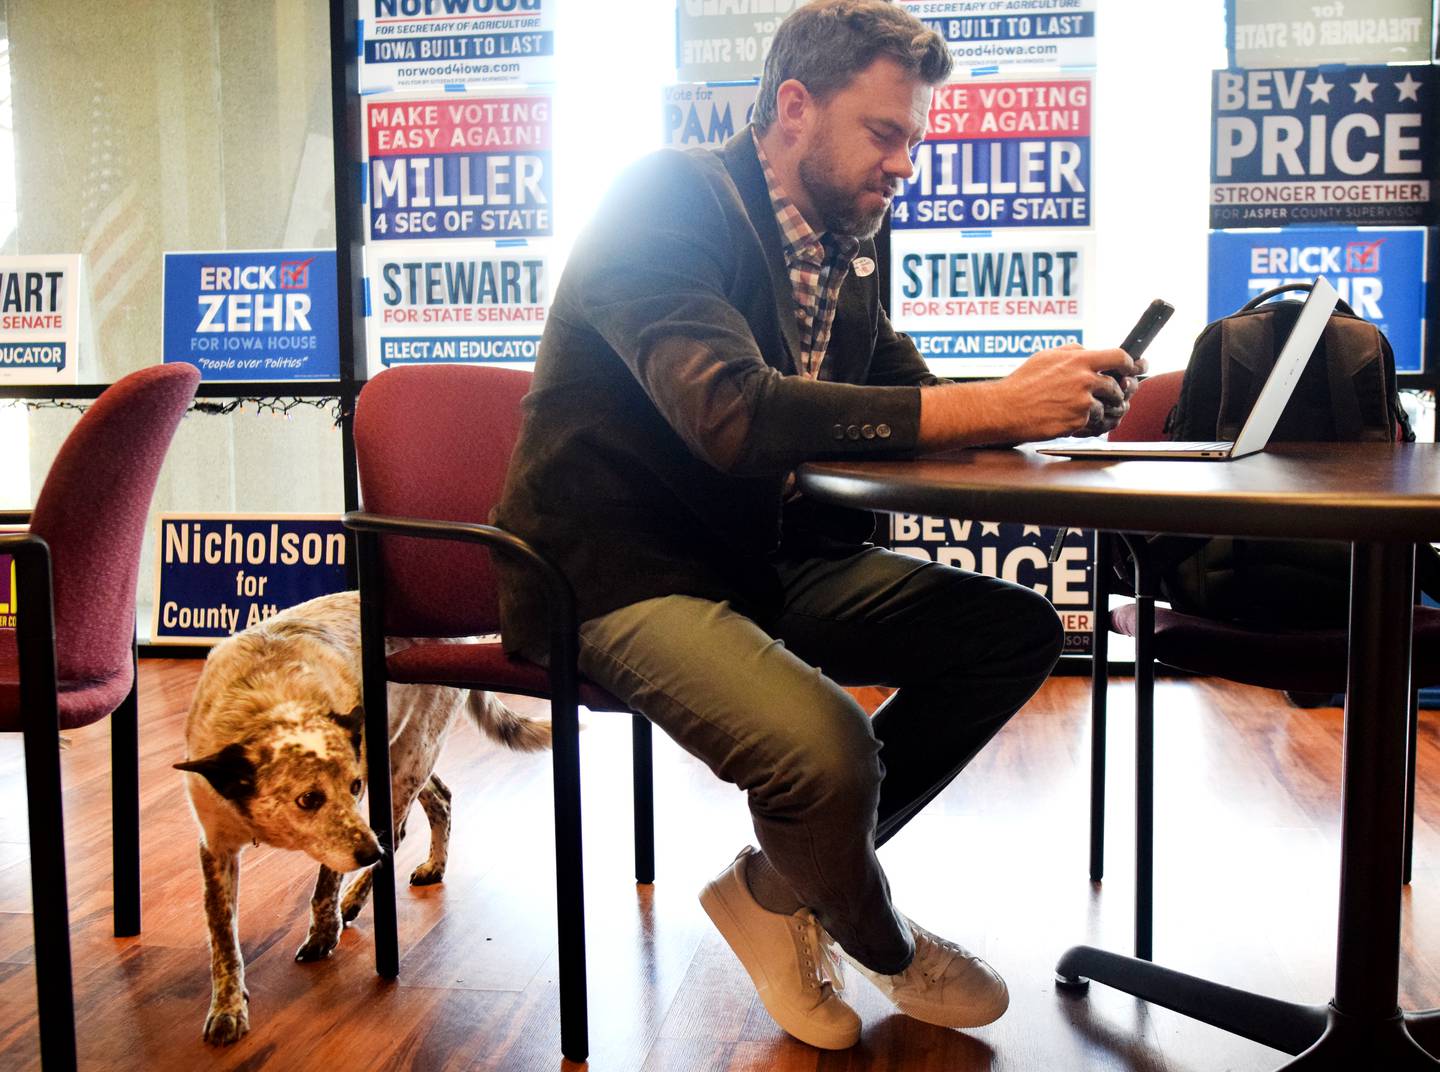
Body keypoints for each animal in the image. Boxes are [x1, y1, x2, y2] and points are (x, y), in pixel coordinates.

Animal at [174, 584, 544, 1048]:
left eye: (352, 787)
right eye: (308, 799)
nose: (370, 854)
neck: (270, 702)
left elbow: (324, 885)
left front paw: (323, 932)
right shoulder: (215, 845)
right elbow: (222, 933)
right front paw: (227, 1007)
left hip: (406, 759)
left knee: (399, 830)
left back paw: (356, 898)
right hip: (402, 759)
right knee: (439, 799)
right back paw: (430, 866)